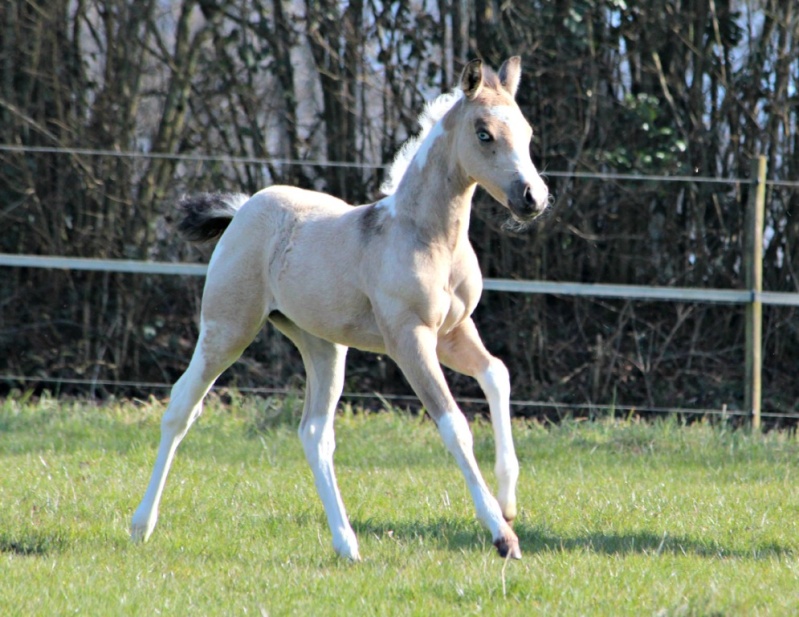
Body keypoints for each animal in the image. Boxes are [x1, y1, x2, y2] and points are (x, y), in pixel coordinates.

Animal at [131, 56, 552, 560]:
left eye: (527, 131)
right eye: (484, 133)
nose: (532, 198)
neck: (427, 237)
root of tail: (243, 210)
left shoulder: (454, 332)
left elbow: (497, 375)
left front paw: (508, 502)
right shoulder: (409, 338)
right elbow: (454, 425)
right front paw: (501, 534)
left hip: (322, 345)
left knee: (315, 434)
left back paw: (347, 544)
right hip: (226, 329)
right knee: (181, 407)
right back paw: (141, 524)